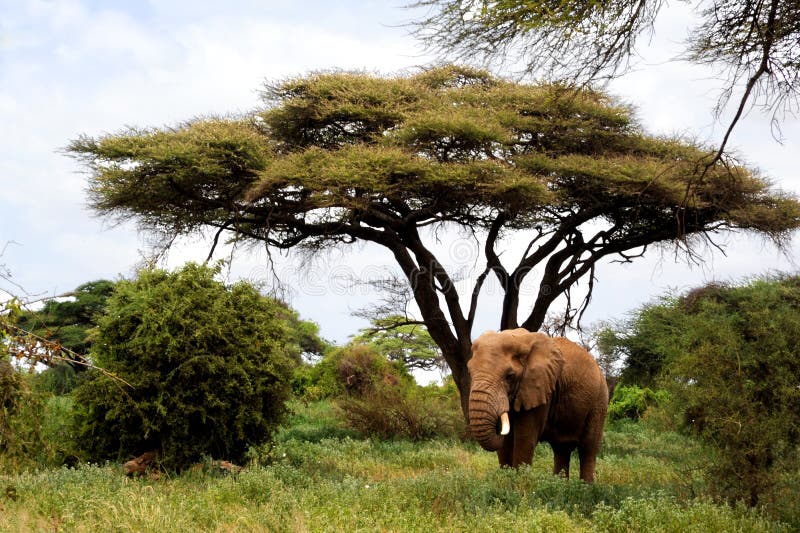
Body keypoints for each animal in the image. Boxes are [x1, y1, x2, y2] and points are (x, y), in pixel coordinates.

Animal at [468, 328, 608, 482]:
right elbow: (506, 446)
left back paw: (585, 486)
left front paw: (520, 484)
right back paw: (560, 484)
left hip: (599, 402)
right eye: (470, 372)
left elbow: (525, 439)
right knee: (561, 449)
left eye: (509, 376)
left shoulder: (540, 388)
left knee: (587, 447)